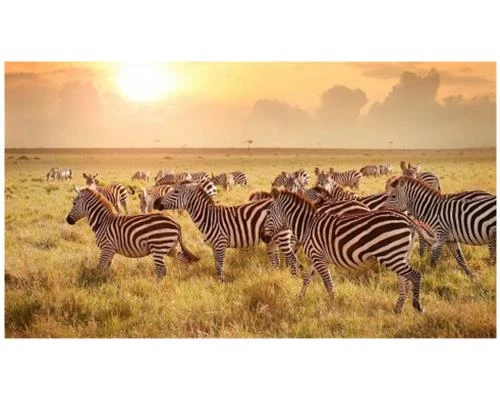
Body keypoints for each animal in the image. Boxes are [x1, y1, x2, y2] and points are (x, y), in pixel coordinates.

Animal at [66, 187, 199, 278]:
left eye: (74, 203)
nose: (68, 220)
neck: (102, 222)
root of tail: (176, 223)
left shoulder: (106, 248)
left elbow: (100, 267)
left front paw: (96, 283)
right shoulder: (111, 250)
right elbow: (107, 268)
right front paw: (105, 281)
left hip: (158, 247)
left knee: (161, 270)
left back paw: (156, 288)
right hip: (171, 247)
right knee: (185, 259)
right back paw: (186, 276)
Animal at [153, 184, 301, 280]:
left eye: (176, 192)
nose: (155, 202)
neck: (209, 218)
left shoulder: (220, 244)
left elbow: (219, 267)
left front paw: (221, 284)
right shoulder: (214, 246)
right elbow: (216, 266)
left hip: (282, 236)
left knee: (291, 259)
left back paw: (293, 279)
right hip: (272, 240)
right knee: (276, 262)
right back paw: (272, 278)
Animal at [262, 189, 435, 313]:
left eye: (268, 213)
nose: (264, 238)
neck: (308, 226)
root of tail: (408, 220)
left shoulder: (318, 258)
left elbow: (328, 284)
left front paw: (332, 306)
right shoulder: (317, 257)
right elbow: (307, 278)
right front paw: (300, 298)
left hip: (391, 255)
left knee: (415, 275)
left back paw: (417, 306)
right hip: (400, 255)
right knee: (405, 281)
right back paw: (398, 308)